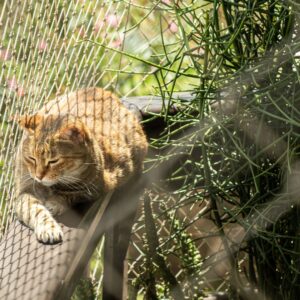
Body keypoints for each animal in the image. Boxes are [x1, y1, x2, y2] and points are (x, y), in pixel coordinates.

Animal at [14, 86, 148, 244]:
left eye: (53, 161)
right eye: (32, 158)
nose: (39, 176)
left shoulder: (97, 187)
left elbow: (70, 195)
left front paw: (55, 203)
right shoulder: (25, 191)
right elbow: (35, 210)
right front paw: (48, 227)